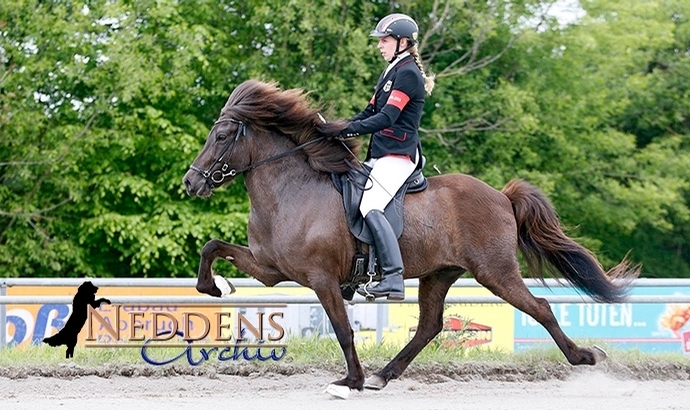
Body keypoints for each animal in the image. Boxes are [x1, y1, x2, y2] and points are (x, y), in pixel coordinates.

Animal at [180, 78, 636, 396]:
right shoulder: (271, 269)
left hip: (495, 271)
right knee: (430, 326)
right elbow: (212, 247)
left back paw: (585, 356)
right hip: (440, 273)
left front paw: (350, 381)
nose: (191, 183)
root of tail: (502, 196)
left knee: (538, 307)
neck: (291, 189)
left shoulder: (322, 279)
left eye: (222, 136)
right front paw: (215, 287)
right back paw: (384, 375)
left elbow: (343, 329)